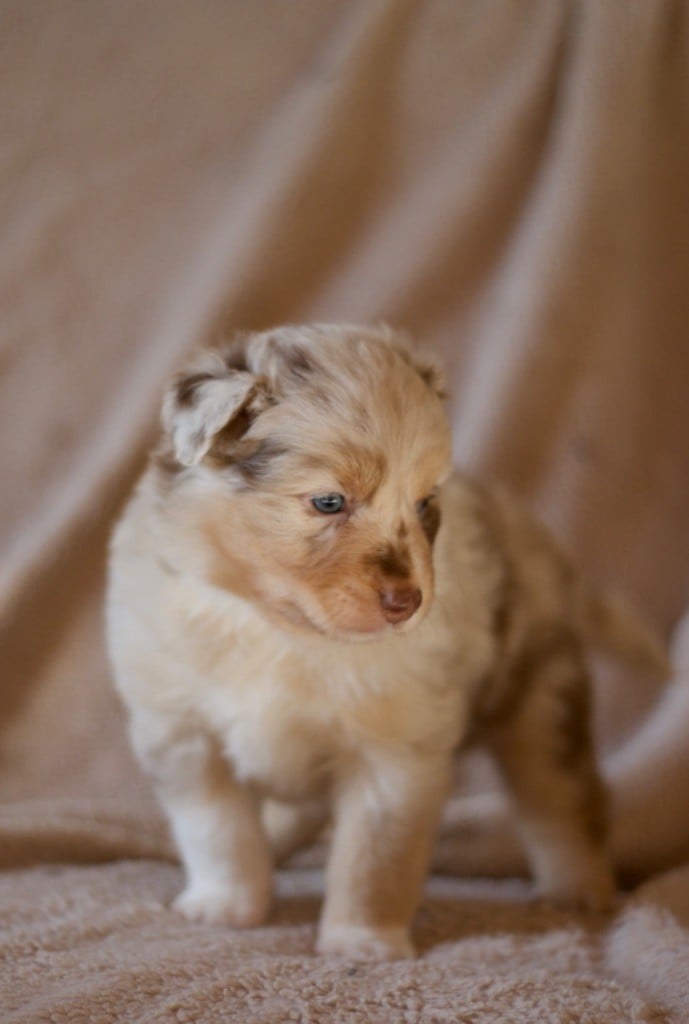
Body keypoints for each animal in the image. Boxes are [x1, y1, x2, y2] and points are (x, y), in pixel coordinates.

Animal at [104, 325, 663, 958]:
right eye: (328, 501)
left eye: (424, 504)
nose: (407, 603)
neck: (280, 629)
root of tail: (546, 547)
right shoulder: (182, 732)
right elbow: (218, 830)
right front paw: (225, 905)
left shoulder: (395, 753)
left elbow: (373, 859)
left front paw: (361, 942)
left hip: (542, 707)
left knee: (564, 804)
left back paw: (580, 892)